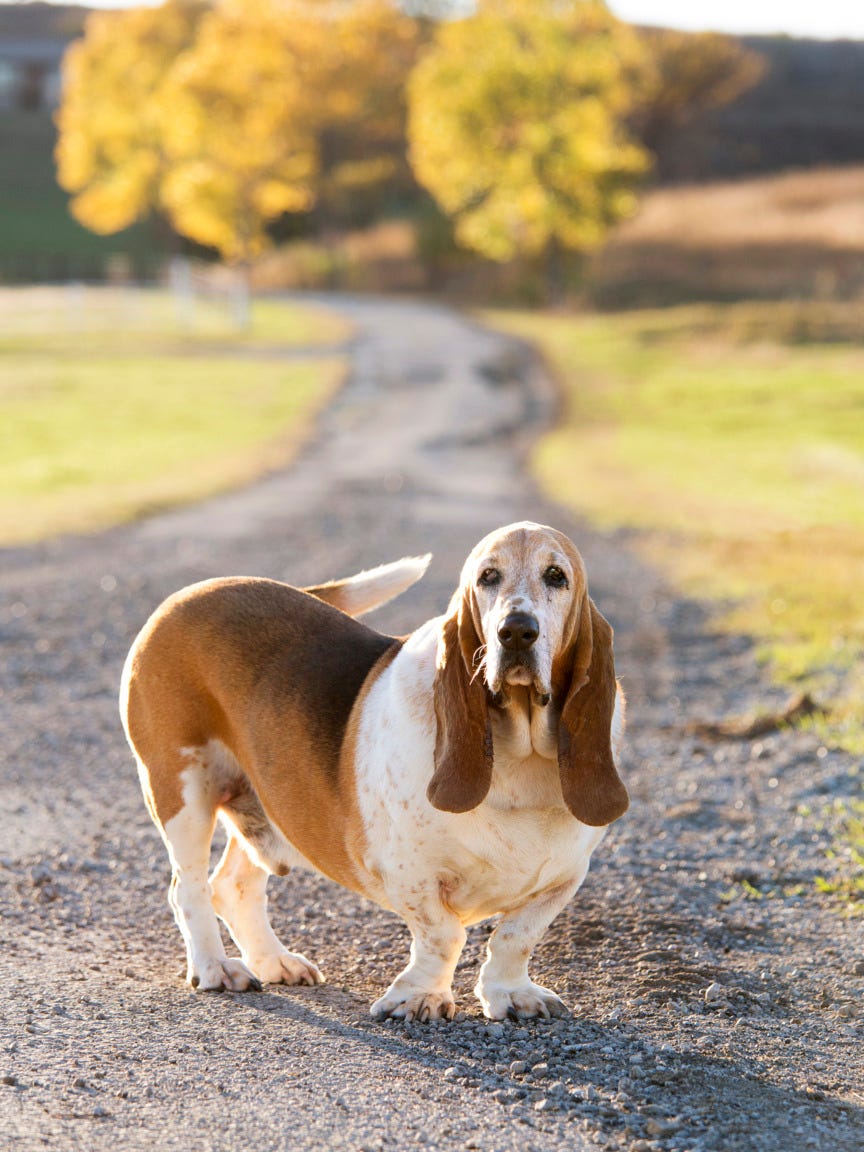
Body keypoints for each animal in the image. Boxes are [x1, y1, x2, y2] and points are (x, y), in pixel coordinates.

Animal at [122, 520, 626, 1018]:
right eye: (488, 577)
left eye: (556, 576)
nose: (516, 631)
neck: (518, 754)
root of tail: (198, 590)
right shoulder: (409, 872)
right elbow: (444, 935)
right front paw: (419, 997)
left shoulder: (564, 877)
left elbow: (515, 937)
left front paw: (511, 992)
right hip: (183, 794)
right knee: (188, 888)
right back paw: (215, 967)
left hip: (269, 807)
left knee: (232, 886)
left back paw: (274, 961)